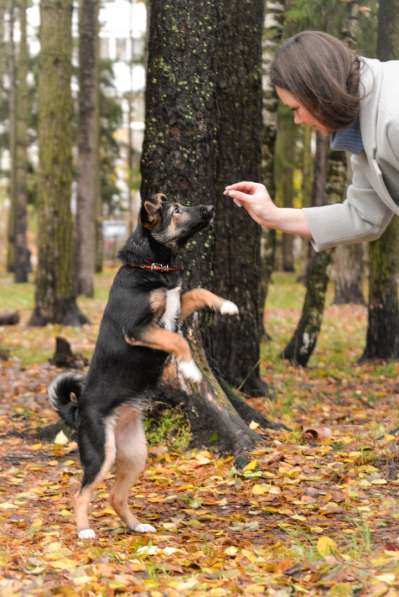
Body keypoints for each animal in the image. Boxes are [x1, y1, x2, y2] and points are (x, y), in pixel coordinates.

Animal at [48, 194, 239, 540]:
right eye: (176, 211)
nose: (209, 208)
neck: (153, 265)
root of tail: (77, 410)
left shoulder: (175, 309)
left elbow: (197, 292)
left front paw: (227, 305)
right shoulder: (139, 329)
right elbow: (179, 343)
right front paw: (190, 370)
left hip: (136, 454)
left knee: (115, 495)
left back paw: (136, 525)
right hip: (101, 452)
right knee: (80, 493)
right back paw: (84, 531)